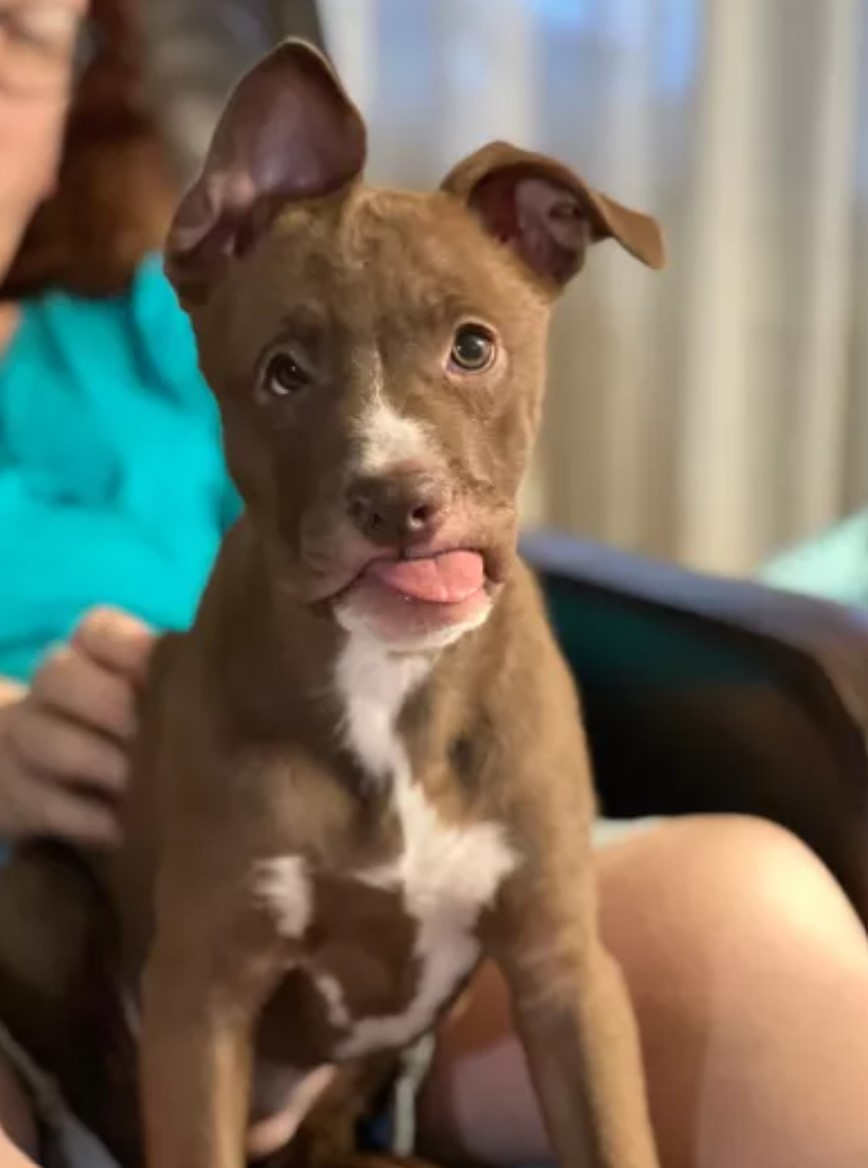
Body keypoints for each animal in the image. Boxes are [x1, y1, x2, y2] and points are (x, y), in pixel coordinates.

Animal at [0, 41, 668, 1168]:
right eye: (282, 373)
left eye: (473, 347)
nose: (397, 501)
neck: (390, 686)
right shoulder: (203, 995)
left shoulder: (565, 972)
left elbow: (613, 1131)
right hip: (38, 905)